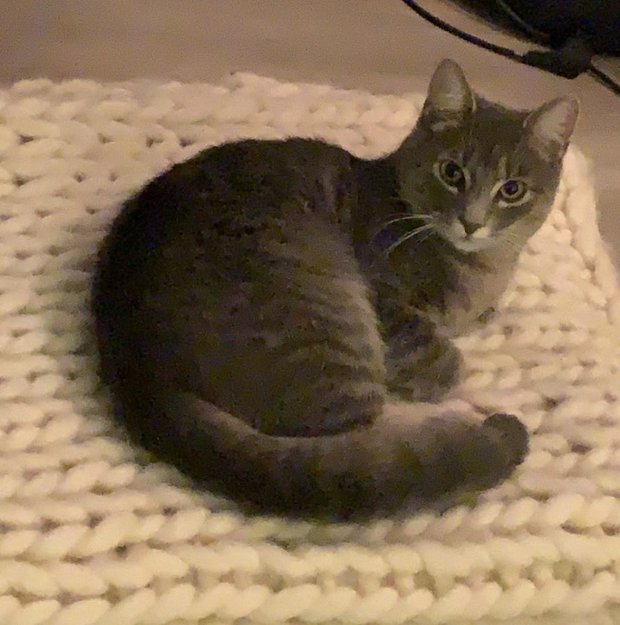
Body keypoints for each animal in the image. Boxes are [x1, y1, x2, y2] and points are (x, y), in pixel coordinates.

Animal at [92, 59, 578, 521]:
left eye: (511, 190)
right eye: (452, 172)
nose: (472, 222)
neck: (480, 266)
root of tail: (140, 374)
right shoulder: (386, 299)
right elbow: (436, 353)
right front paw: (446, 370)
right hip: (326, 319)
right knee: (363, 452)